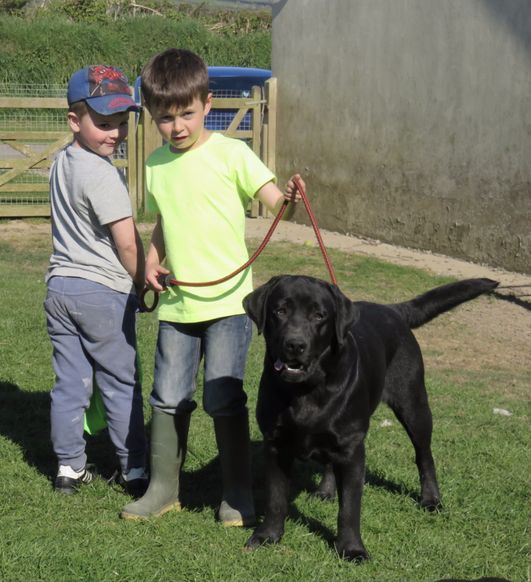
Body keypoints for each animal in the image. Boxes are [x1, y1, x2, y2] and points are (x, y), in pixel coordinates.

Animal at [243, 276, 500, 564]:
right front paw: (267, 536)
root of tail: (393, 309)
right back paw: (326, 491)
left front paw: (351, 548)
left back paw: (431, 499)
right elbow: (276, 498)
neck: (306, 391)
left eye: (319, 315)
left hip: (414, 405)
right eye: (280, 311)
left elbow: (350, 507)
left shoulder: (353, 448)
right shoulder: (276, 444)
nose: (295, 344)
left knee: (424, 456)